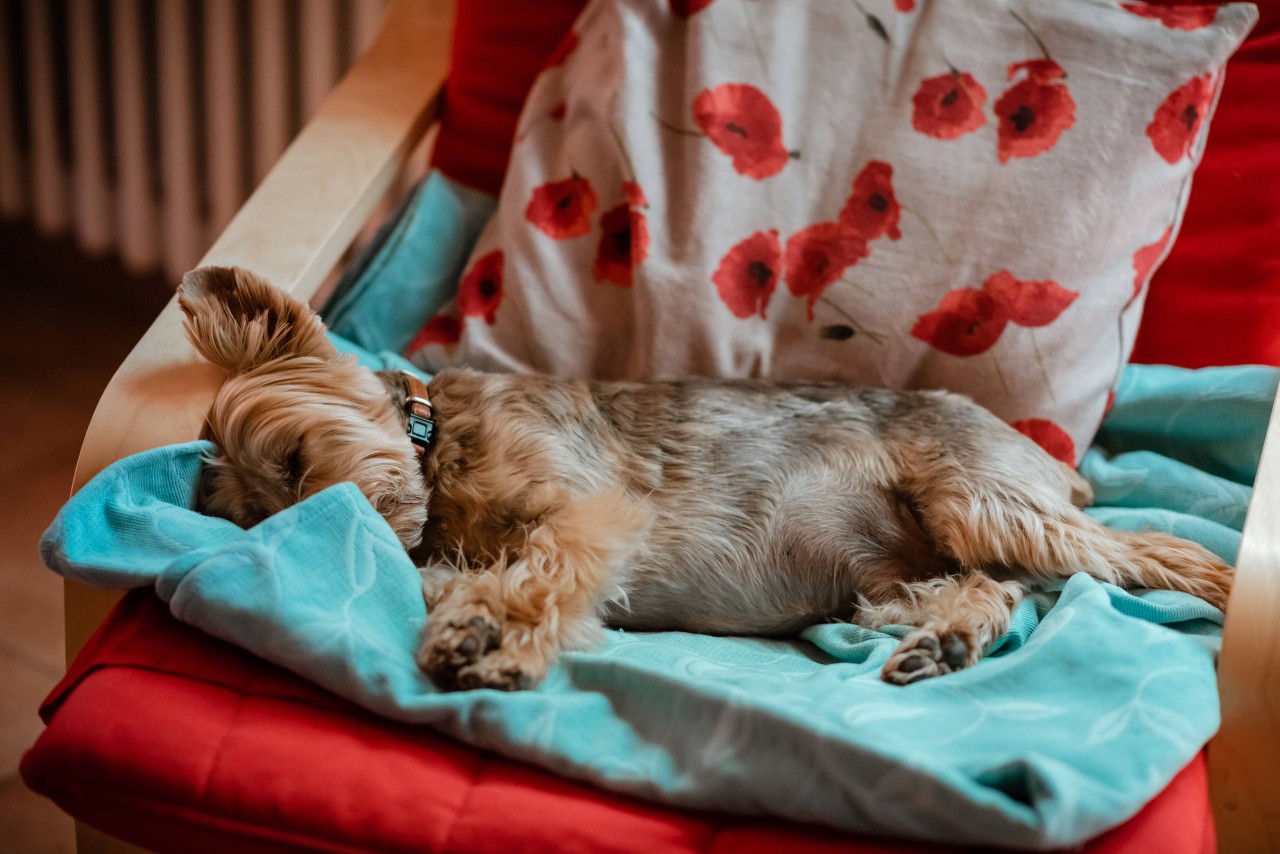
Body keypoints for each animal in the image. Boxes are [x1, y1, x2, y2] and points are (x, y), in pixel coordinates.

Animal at [177, 270, 1228, 691]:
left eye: (298, 459)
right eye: (261, 514)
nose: (342, 527)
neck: (440, 451)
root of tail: (1056, 466)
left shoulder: (584, 510)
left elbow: (540, 572)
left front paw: (496, 645)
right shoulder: (457, 551)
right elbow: (474, 579)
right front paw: (466, 621)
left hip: (982, 502)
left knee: (1146, 552)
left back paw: (1216, 588)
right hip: (907, 570)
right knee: (993, 592)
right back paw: (943, 639)